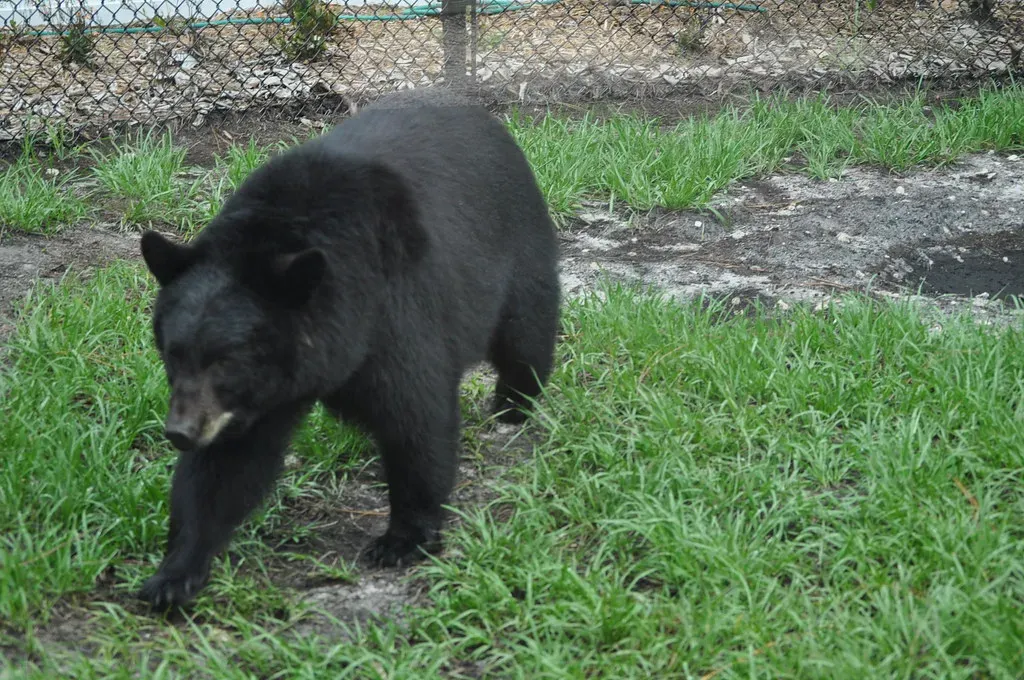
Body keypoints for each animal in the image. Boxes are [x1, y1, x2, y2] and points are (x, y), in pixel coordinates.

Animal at [135, 88, 561, 610]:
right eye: (172, 353)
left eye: (226, 361)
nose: (179, 432)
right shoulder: (254, 396)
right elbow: (225, 466)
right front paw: (173, 576)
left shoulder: (393, 309)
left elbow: (416, 416)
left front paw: (403, 539)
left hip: (515, 245)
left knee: (525, 332)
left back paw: (514, 403)